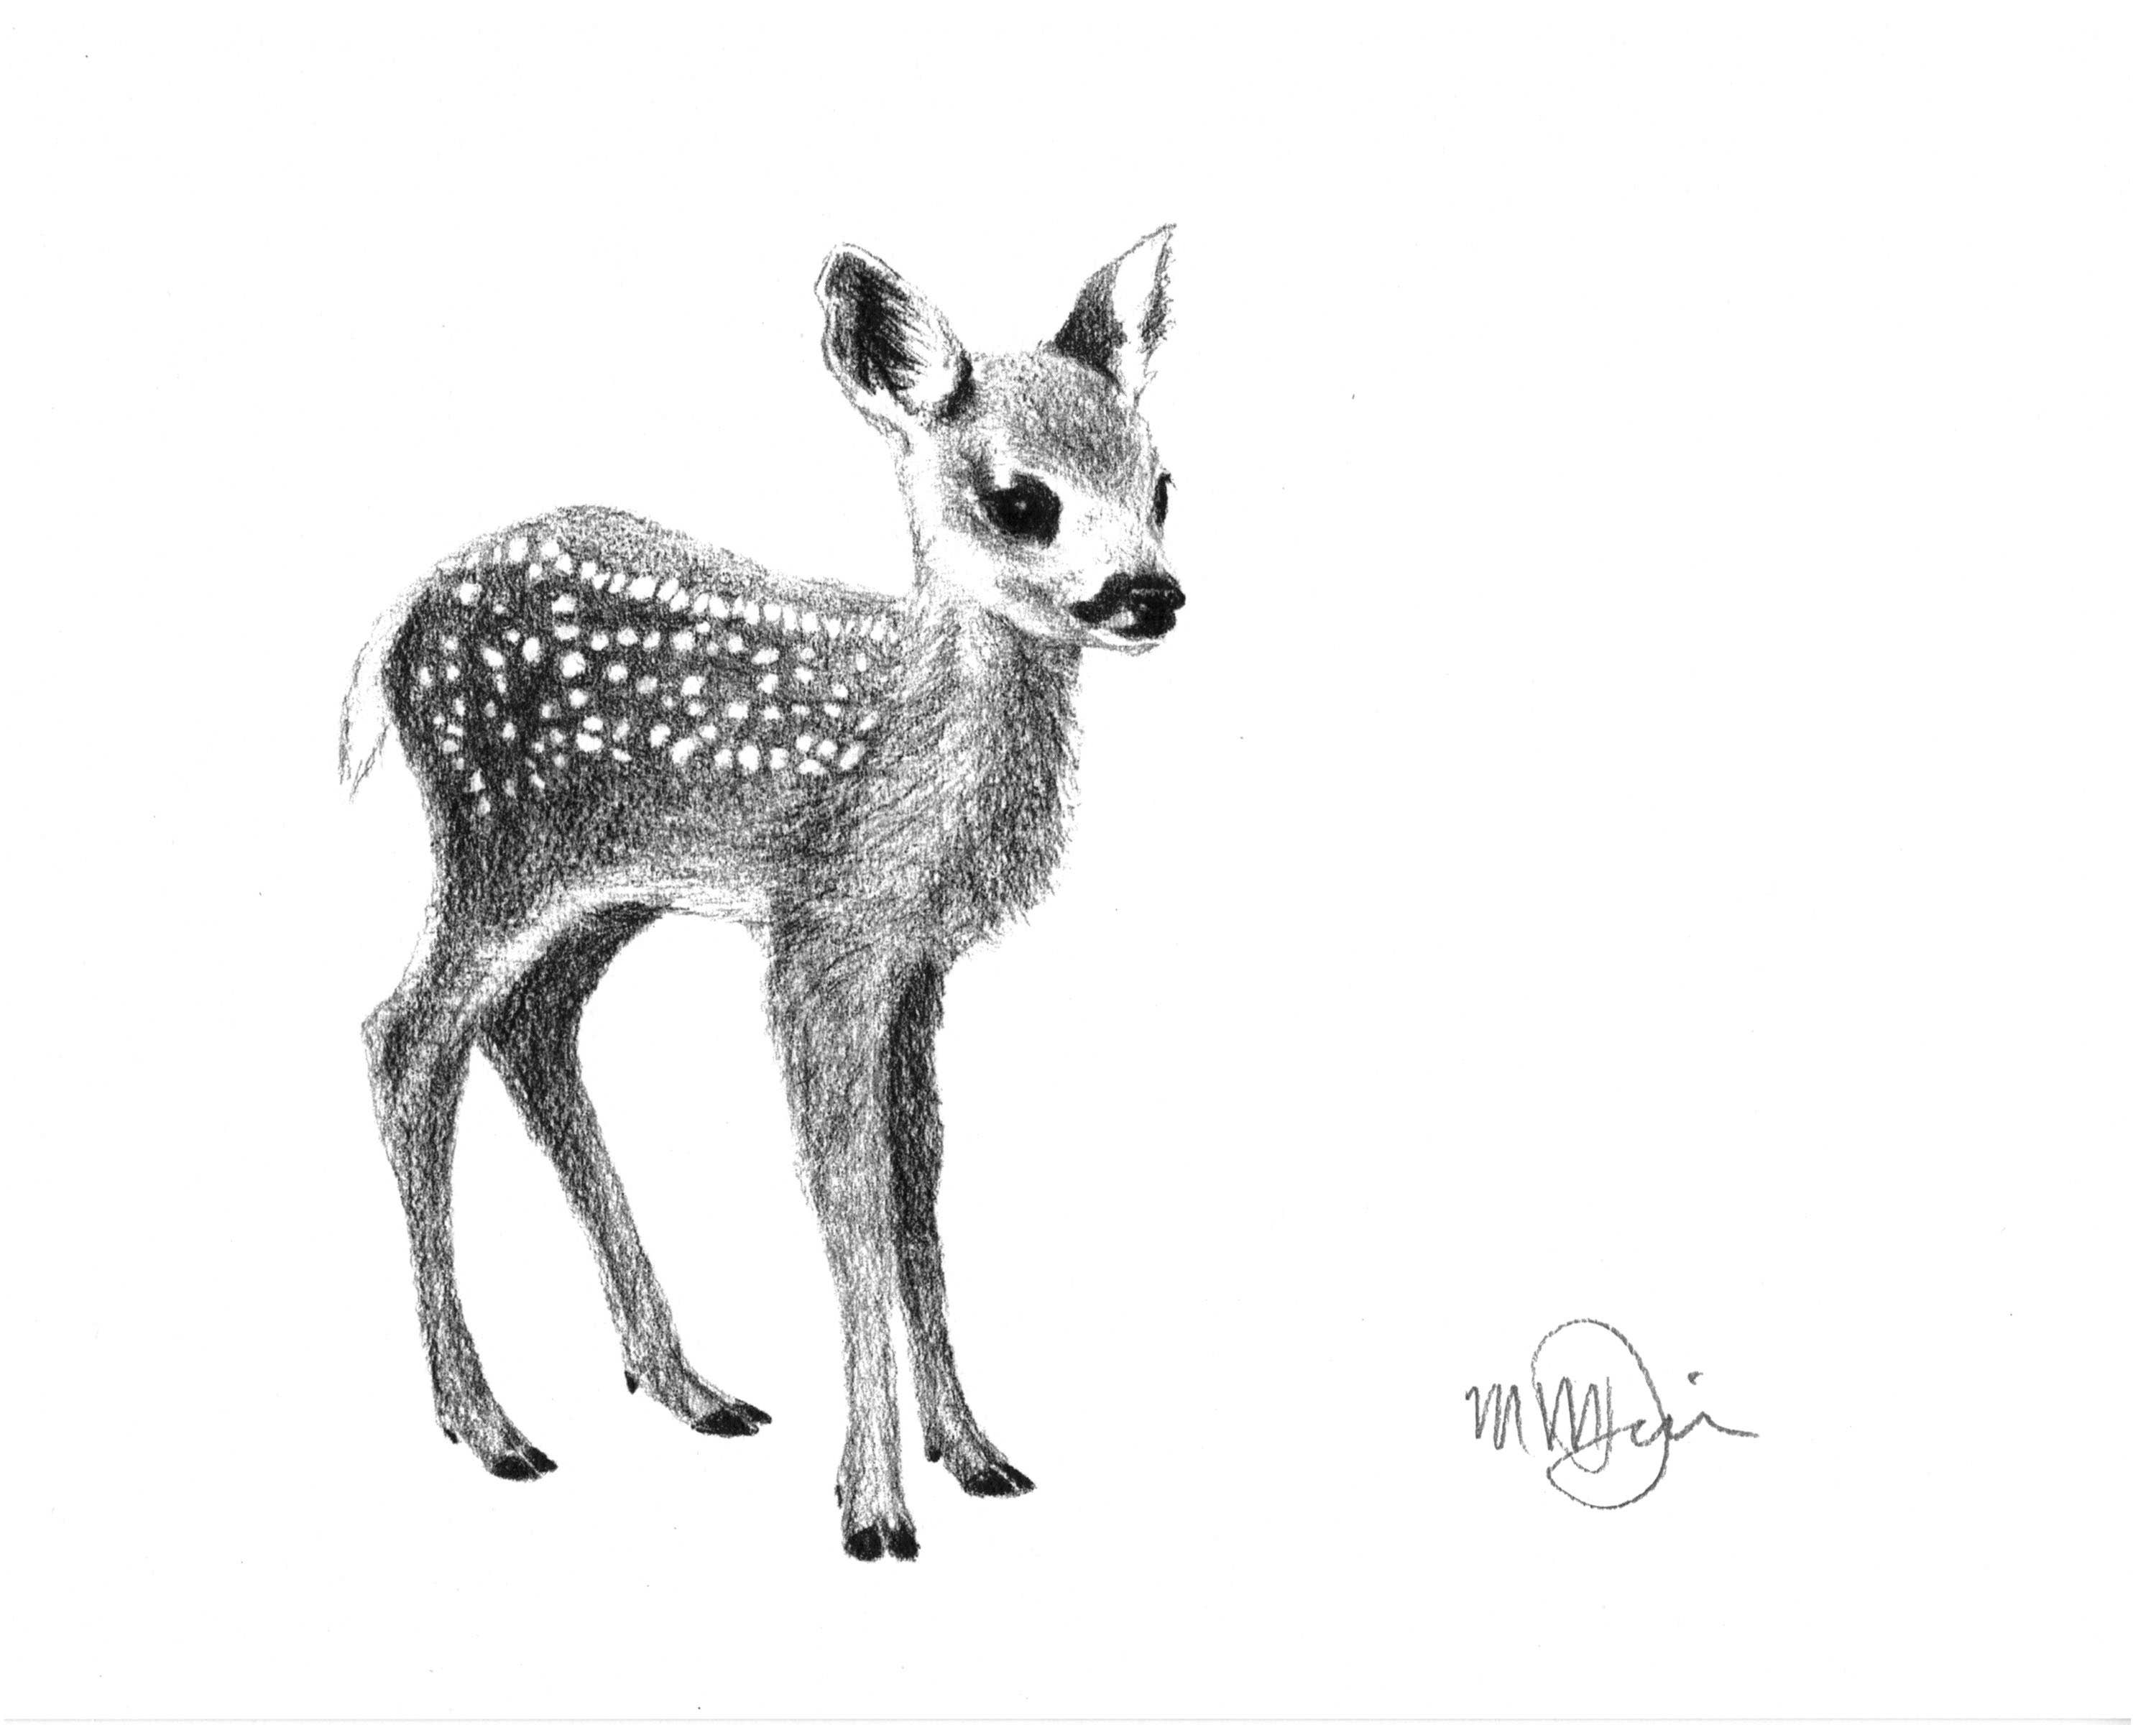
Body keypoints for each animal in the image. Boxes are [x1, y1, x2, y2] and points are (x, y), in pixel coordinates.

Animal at [338, 230, 1182, 1561]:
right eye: (1023, 500)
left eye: (1163, 486)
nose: (1151, 595)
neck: (914, 744)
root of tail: (395, 625)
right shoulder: (823, 934)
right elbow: (848, 1196)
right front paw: (875, 1509)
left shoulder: (911, 956)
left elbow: (918, 1183)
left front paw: (974, 1454)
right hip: (494, 847)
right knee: (405, 1036)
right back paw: (490, 1425)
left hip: (604, 886)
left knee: (528, 1028)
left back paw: (687, 1387)